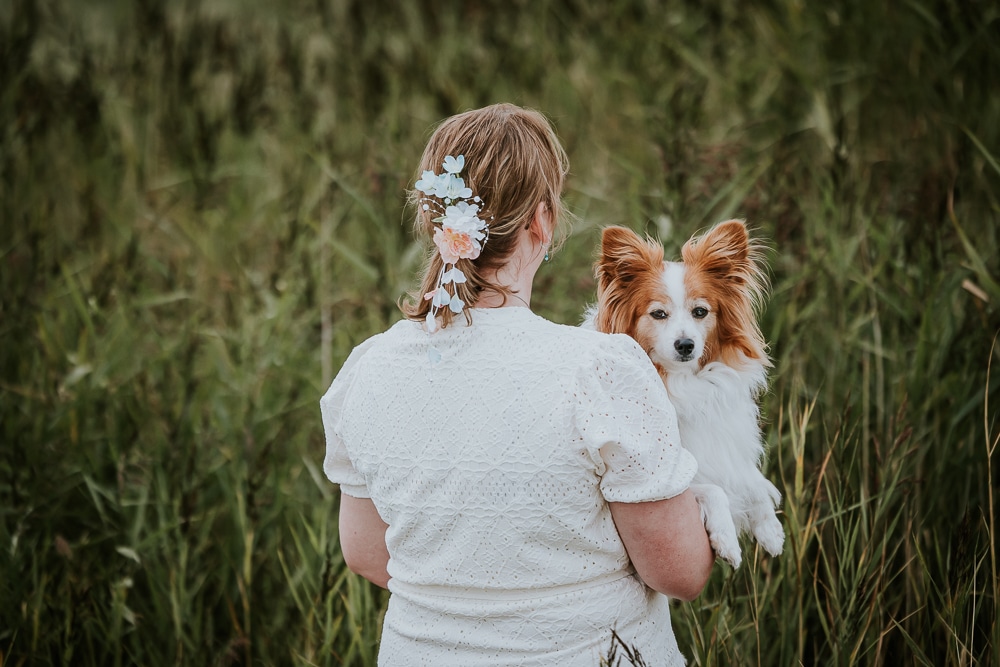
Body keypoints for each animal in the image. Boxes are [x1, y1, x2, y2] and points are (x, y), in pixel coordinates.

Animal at [584, 222, 788, 568]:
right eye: (658, 314)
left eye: (700, 311)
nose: (685, 345)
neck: (681, 383)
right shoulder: (666, 480)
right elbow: (715, 490)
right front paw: (727, 539)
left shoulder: (724, 444)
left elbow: (749, 476)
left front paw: (769, 528)